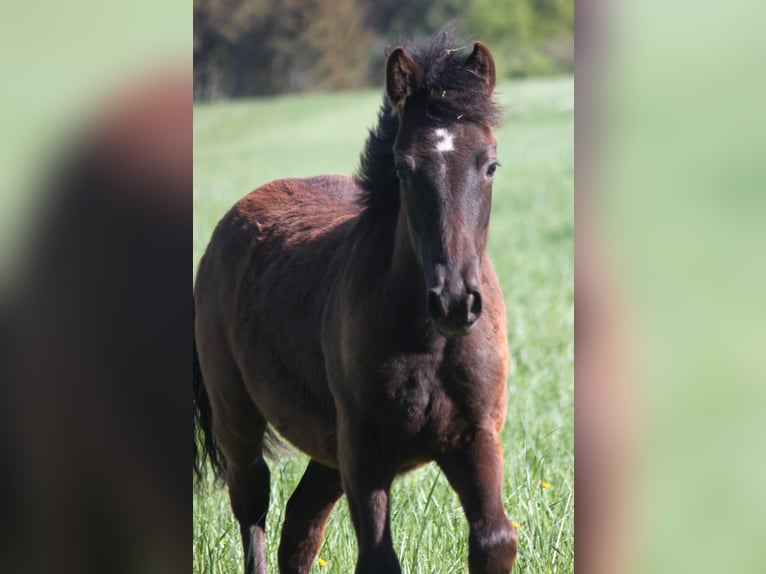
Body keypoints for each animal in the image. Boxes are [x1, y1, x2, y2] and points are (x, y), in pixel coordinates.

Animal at [195, 29, 520, 572]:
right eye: (404, 168)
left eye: (490, 164)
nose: (455, 302)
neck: (428, 342)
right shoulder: (367, 453)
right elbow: (378, 557)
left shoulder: (475, 436)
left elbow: (494, 539)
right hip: (238, 417)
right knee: (254, 507)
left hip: (328, 448)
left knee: (299, 528)